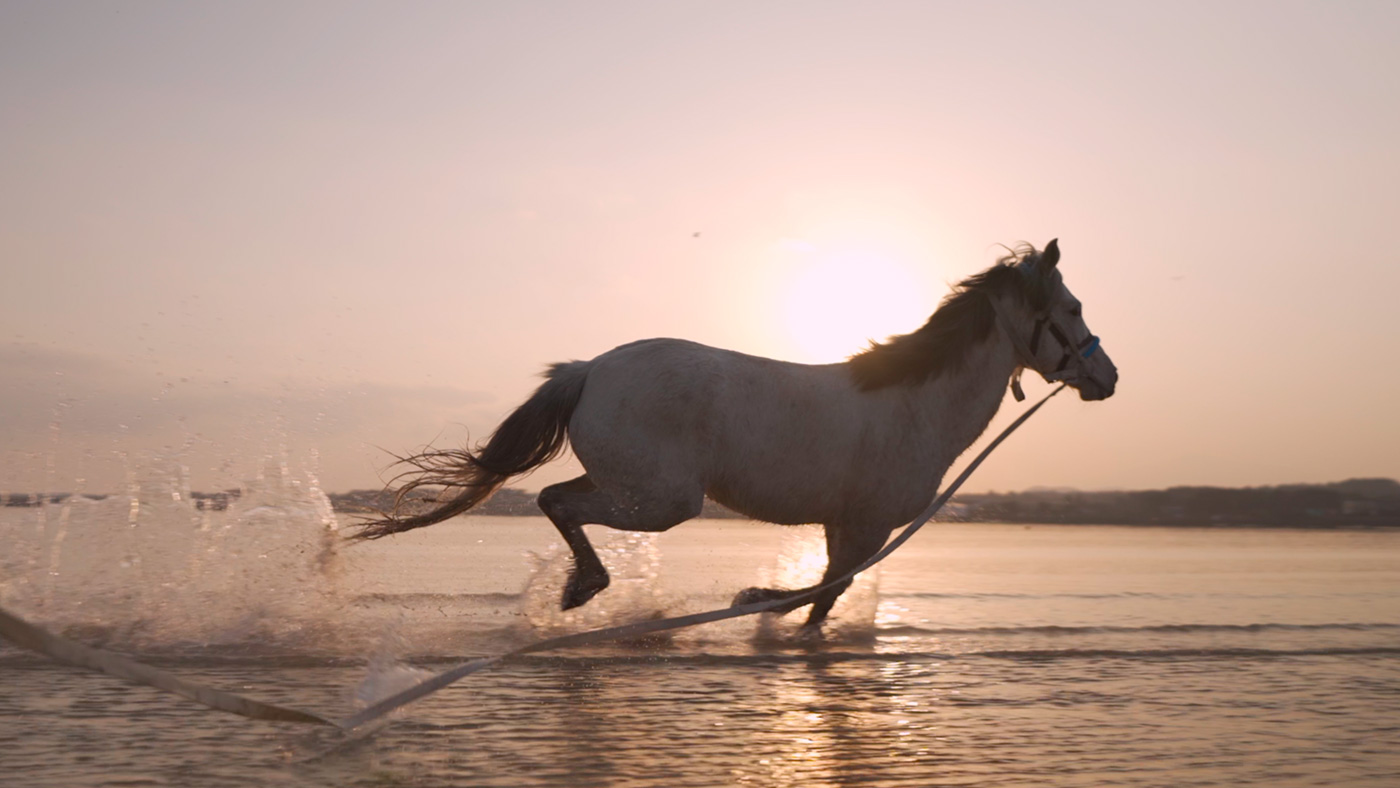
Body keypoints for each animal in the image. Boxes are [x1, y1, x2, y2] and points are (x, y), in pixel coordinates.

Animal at [355, 237, 1120, 632]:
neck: (915, 405)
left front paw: (763, 607)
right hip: (662, 502)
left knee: (556, 497)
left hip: (628, 483)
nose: (1108, 377)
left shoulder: (845, 525)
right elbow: (823, 594)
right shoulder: (866, 526)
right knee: (556, 502)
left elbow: (826, 592)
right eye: (1073, 308)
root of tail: (590, 368)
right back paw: (586, 588)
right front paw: (755, 603)